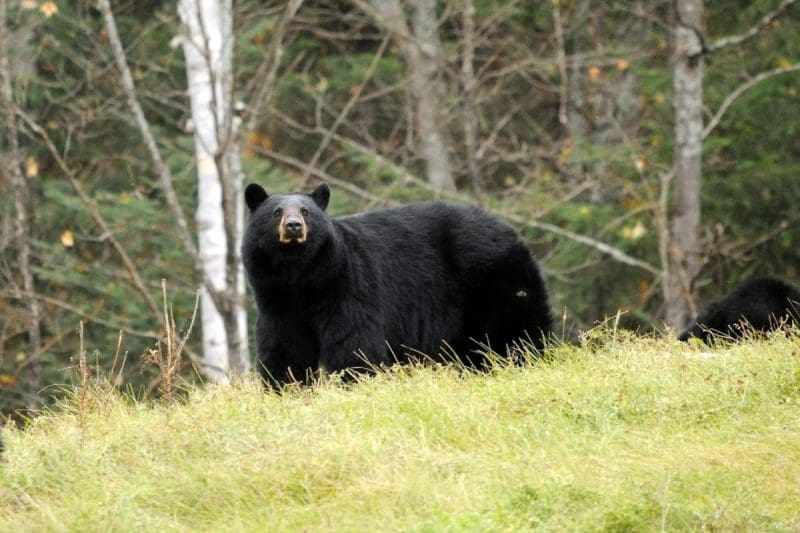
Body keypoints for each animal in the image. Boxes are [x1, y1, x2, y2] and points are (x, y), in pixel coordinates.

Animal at [241, 182, 553, 386]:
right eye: (276, 211)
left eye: (306, 211)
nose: (294, 226)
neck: (301, 275)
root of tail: (510, 230)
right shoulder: (276, 299)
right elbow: (285, 345)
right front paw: (285, 387)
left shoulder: (348, 285)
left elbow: (354, 341)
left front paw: (355, 382)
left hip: (494, 278)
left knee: (514, 330)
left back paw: (526, 361)